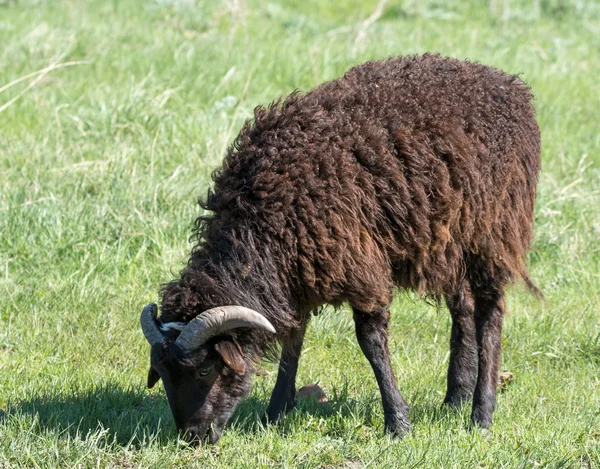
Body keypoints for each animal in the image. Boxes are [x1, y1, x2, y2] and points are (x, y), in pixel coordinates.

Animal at [141, 54, 544, 442]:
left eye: (205, 368)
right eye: (161, 372)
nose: (192, 436)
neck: (261, 218)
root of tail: (508, 83)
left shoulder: (358, 261)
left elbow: (371, 343)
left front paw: (397, 423)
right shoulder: (299, 268)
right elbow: (293, 338)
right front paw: (275, 412)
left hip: (492, 230)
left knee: (490, 313)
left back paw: (481, 413)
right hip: (449, 240)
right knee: (463, 307)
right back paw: (455, 398)